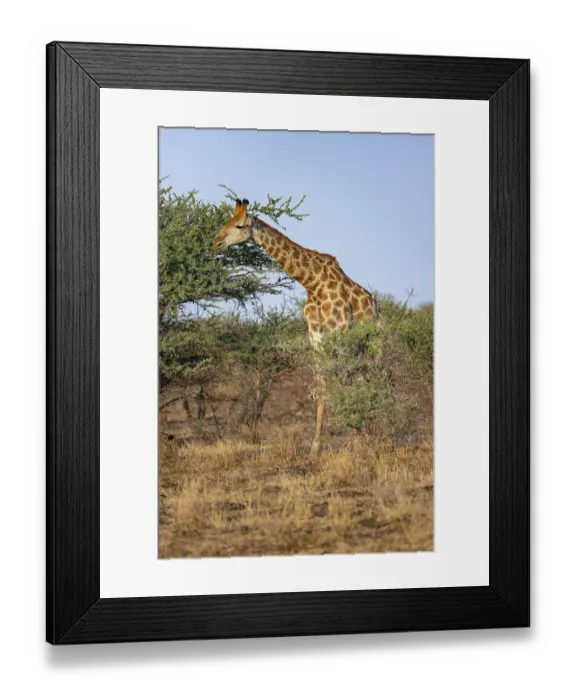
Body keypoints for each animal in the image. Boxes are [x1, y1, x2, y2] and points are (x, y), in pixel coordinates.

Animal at [213, 198, 378, 457]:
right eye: (227, 221)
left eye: (239, 225)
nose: (216, 242)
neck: (313, 284)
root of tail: (374, 303)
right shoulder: (317, 338)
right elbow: (322, 387)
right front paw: (315, 448)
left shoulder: (339, 332)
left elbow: (342, 383)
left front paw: (357, 440)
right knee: (362, 378)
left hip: (369, 340)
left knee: (370, 377)